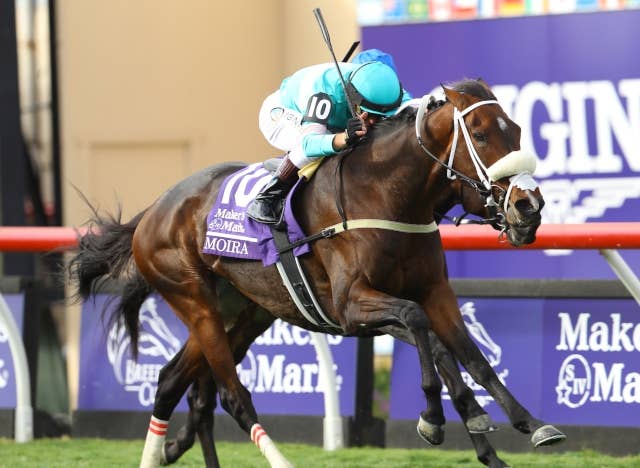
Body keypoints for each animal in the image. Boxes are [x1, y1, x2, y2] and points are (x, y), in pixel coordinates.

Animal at [68, 78, 565, 468]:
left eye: (518, 130)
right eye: (479, 134)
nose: (529, 207)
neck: (385, 194)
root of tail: (153, 210)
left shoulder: (433, 291)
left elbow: (469, 354)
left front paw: (527, 424)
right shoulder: (350, 306)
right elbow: (422, 327)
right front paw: (435, 418)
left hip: (243, 312)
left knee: (177, 383)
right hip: (194, 301)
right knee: (231, 396)